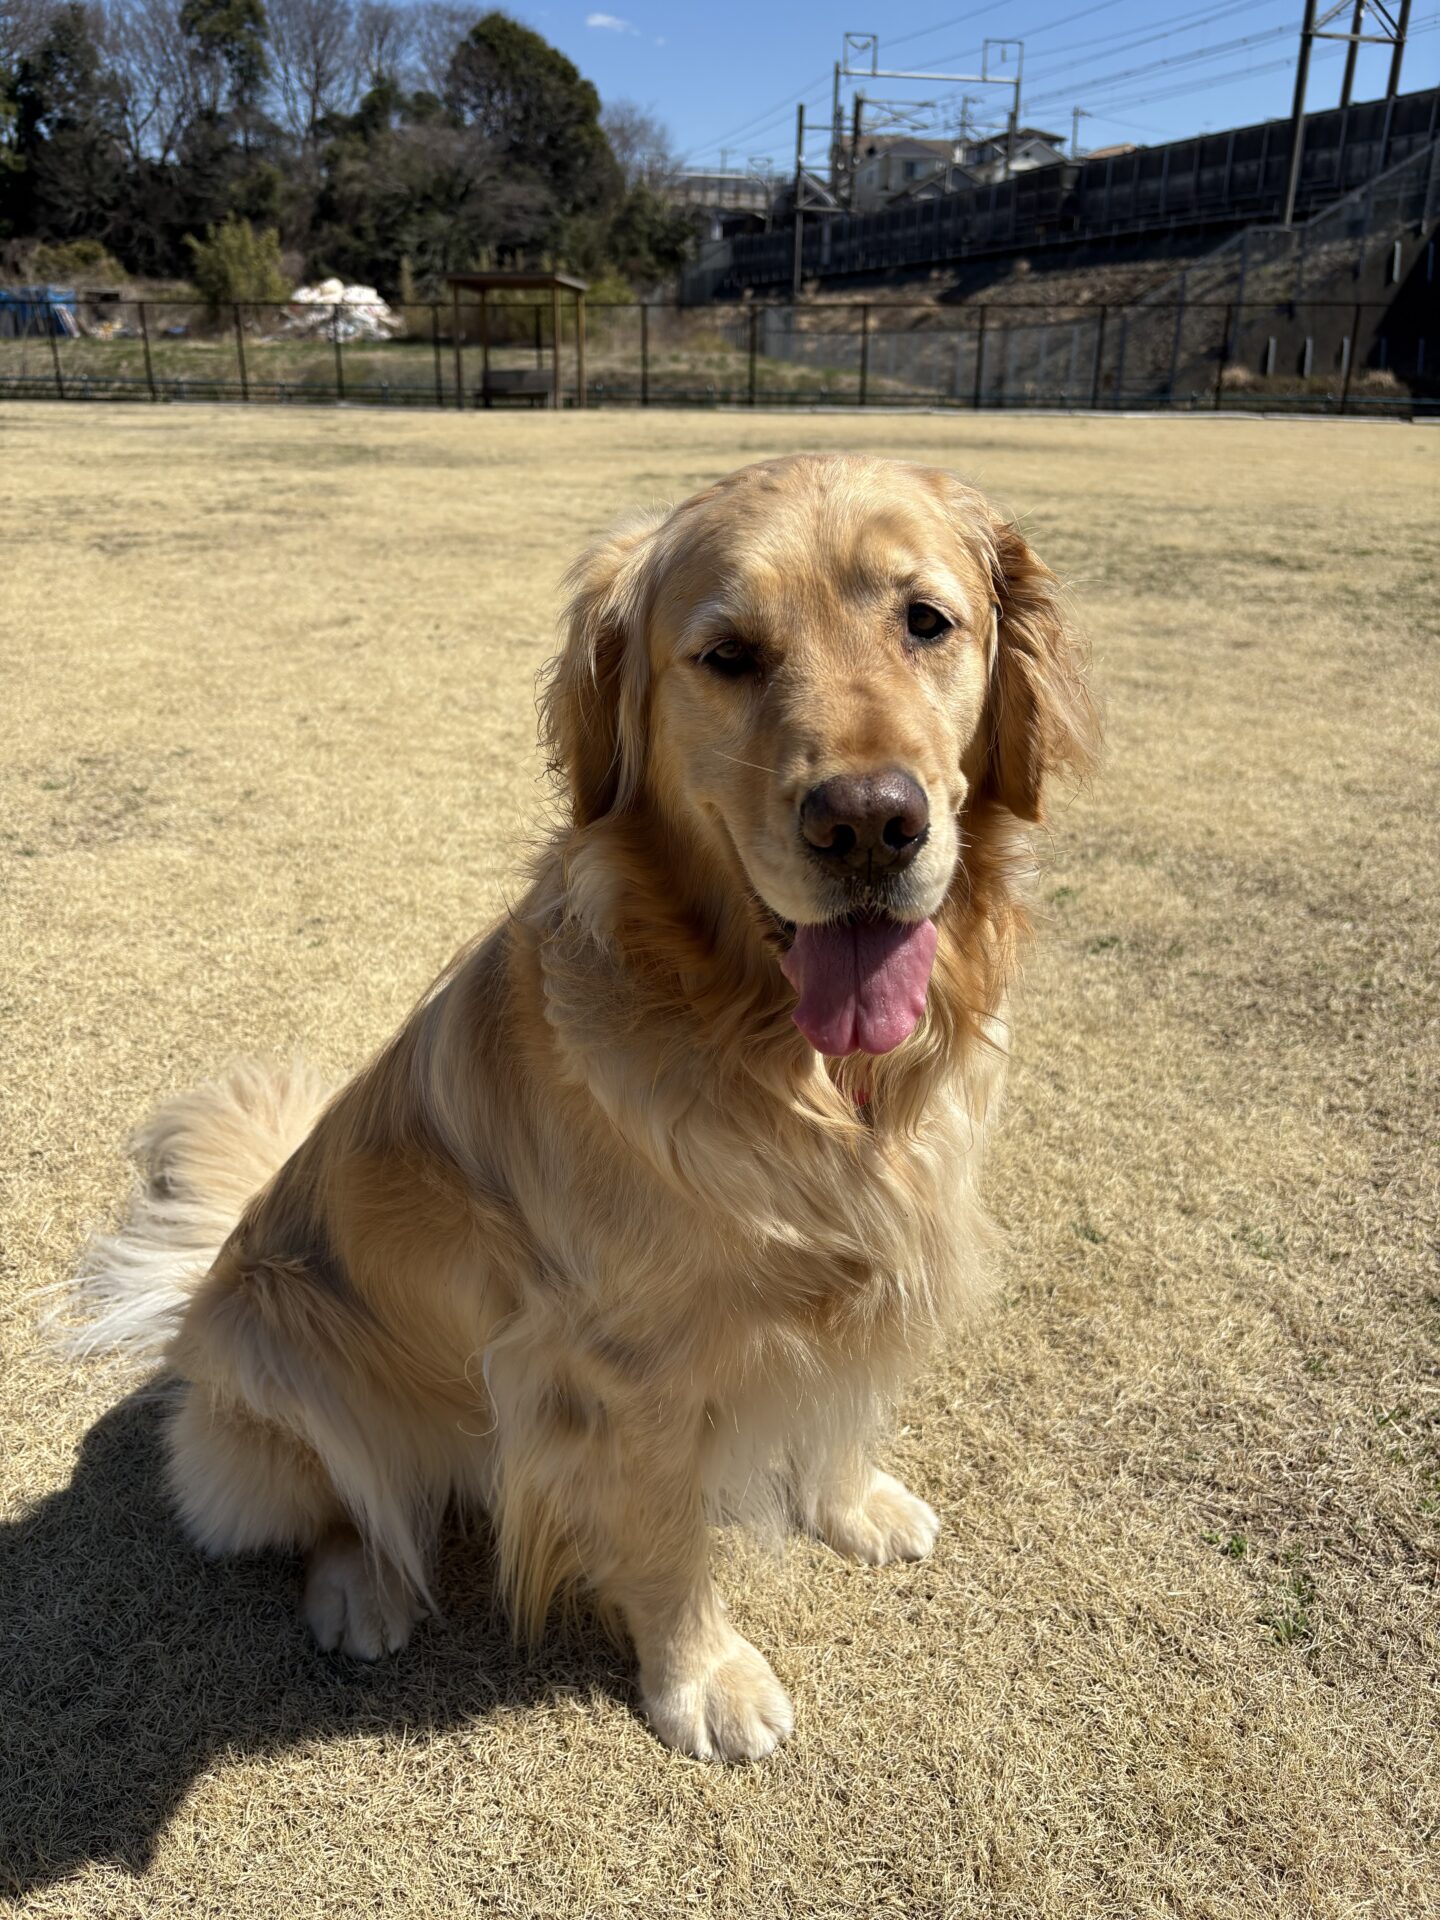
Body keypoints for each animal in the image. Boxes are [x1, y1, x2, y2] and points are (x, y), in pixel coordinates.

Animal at [74, 453, 1098, 1762]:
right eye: (727, 654)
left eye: (927, 621)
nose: (870, 822)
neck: (783, 1063)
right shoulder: (614, 1371)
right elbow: (665, 1540)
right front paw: (702, 1679)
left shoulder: (877, 1264)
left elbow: (840, 1406)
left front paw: (852, 1505)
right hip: (283, 1349)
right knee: (349, 1502)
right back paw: (362, 1590)